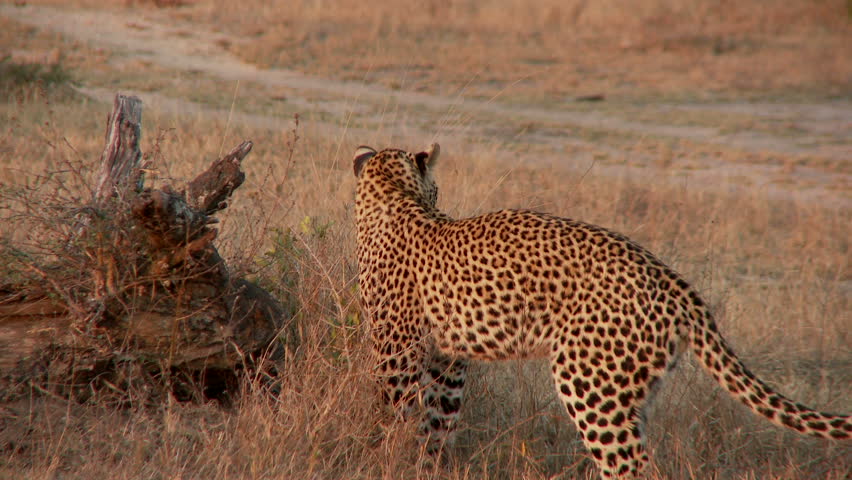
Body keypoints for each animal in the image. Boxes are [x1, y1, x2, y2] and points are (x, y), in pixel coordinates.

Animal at [351, 143, 851, 479]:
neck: (394, 197)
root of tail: (676, 283)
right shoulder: (448, 363)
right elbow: (436, 424)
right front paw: (424, 464)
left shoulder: (396, 357)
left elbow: (395, 419)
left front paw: (388, 458)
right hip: (632, 393)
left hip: (592, 385)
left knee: (634, 467)